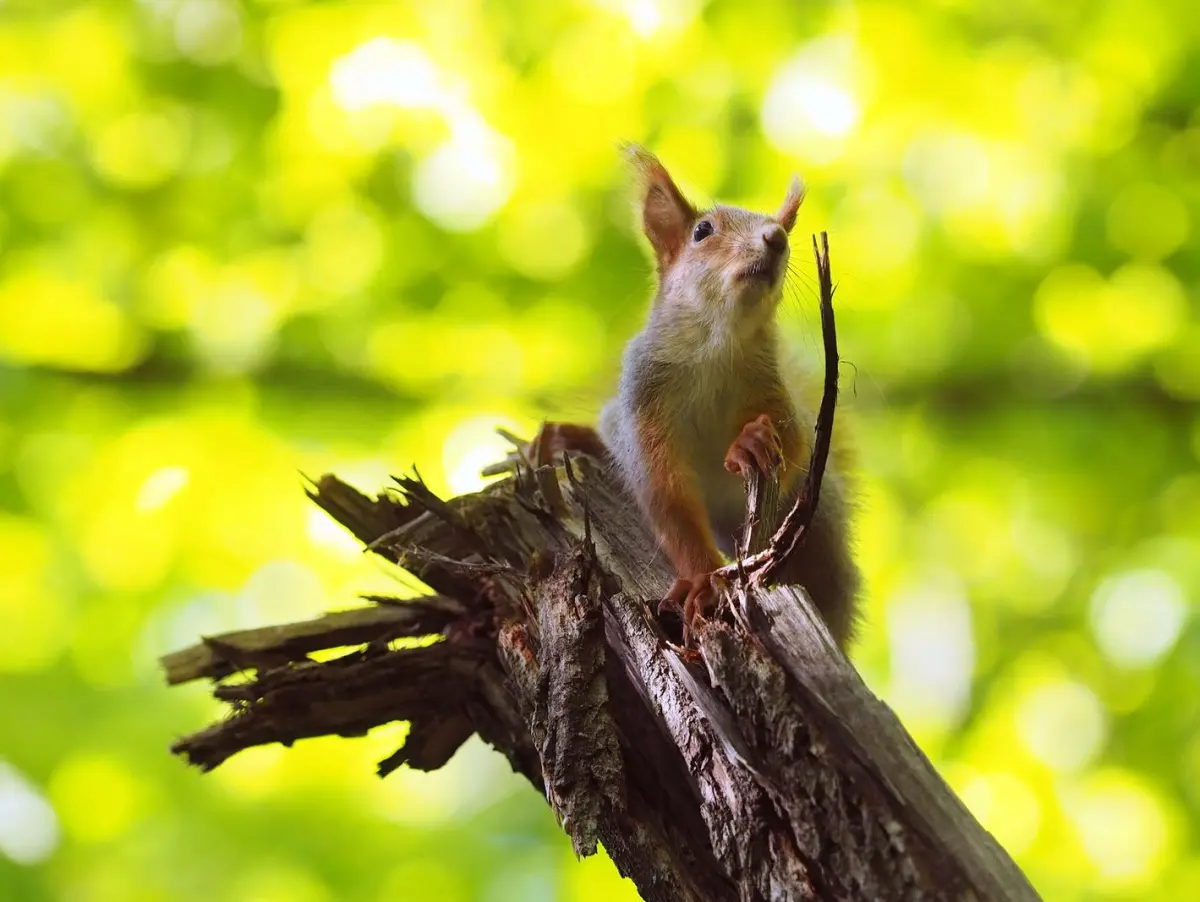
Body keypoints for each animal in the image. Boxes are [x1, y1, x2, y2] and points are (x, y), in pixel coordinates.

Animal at [530, 144, 859, 642]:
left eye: (783, 229)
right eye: (702, 231)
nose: (775, 238)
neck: (715, 346)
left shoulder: (771, 391)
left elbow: (796, 442)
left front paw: (752, 444)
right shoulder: (643, 401)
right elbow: (669, 500)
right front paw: (702, 581)